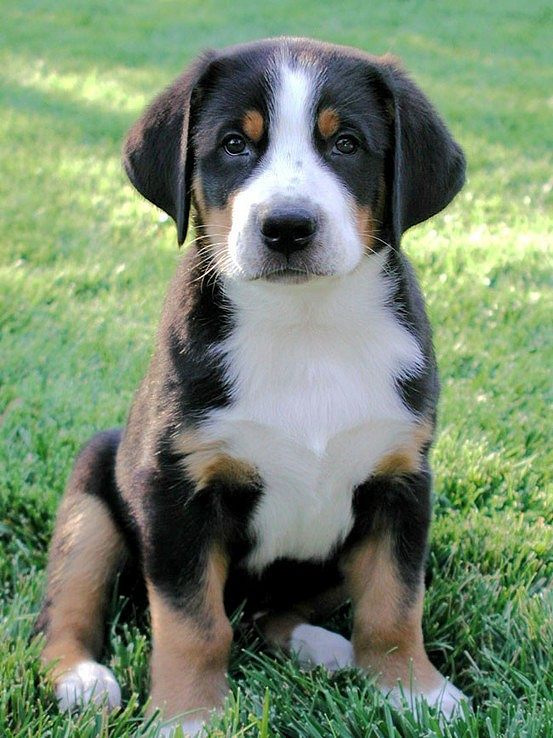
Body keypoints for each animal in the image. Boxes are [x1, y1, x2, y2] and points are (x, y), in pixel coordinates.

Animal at [35, 36, 466, 736]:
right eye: (236, 144)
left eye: (346, 143)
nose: (287, 226)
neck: (306, 328)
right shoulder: (175, 488)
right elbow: (193, 623)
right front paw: (187, 716)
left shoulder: (401, 479)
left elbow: (395, 601)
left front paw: (413, 691)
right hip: (94, 490)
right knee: (67, 603)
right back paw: (80, 678)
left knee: (275, 612)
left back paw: (322, 645)